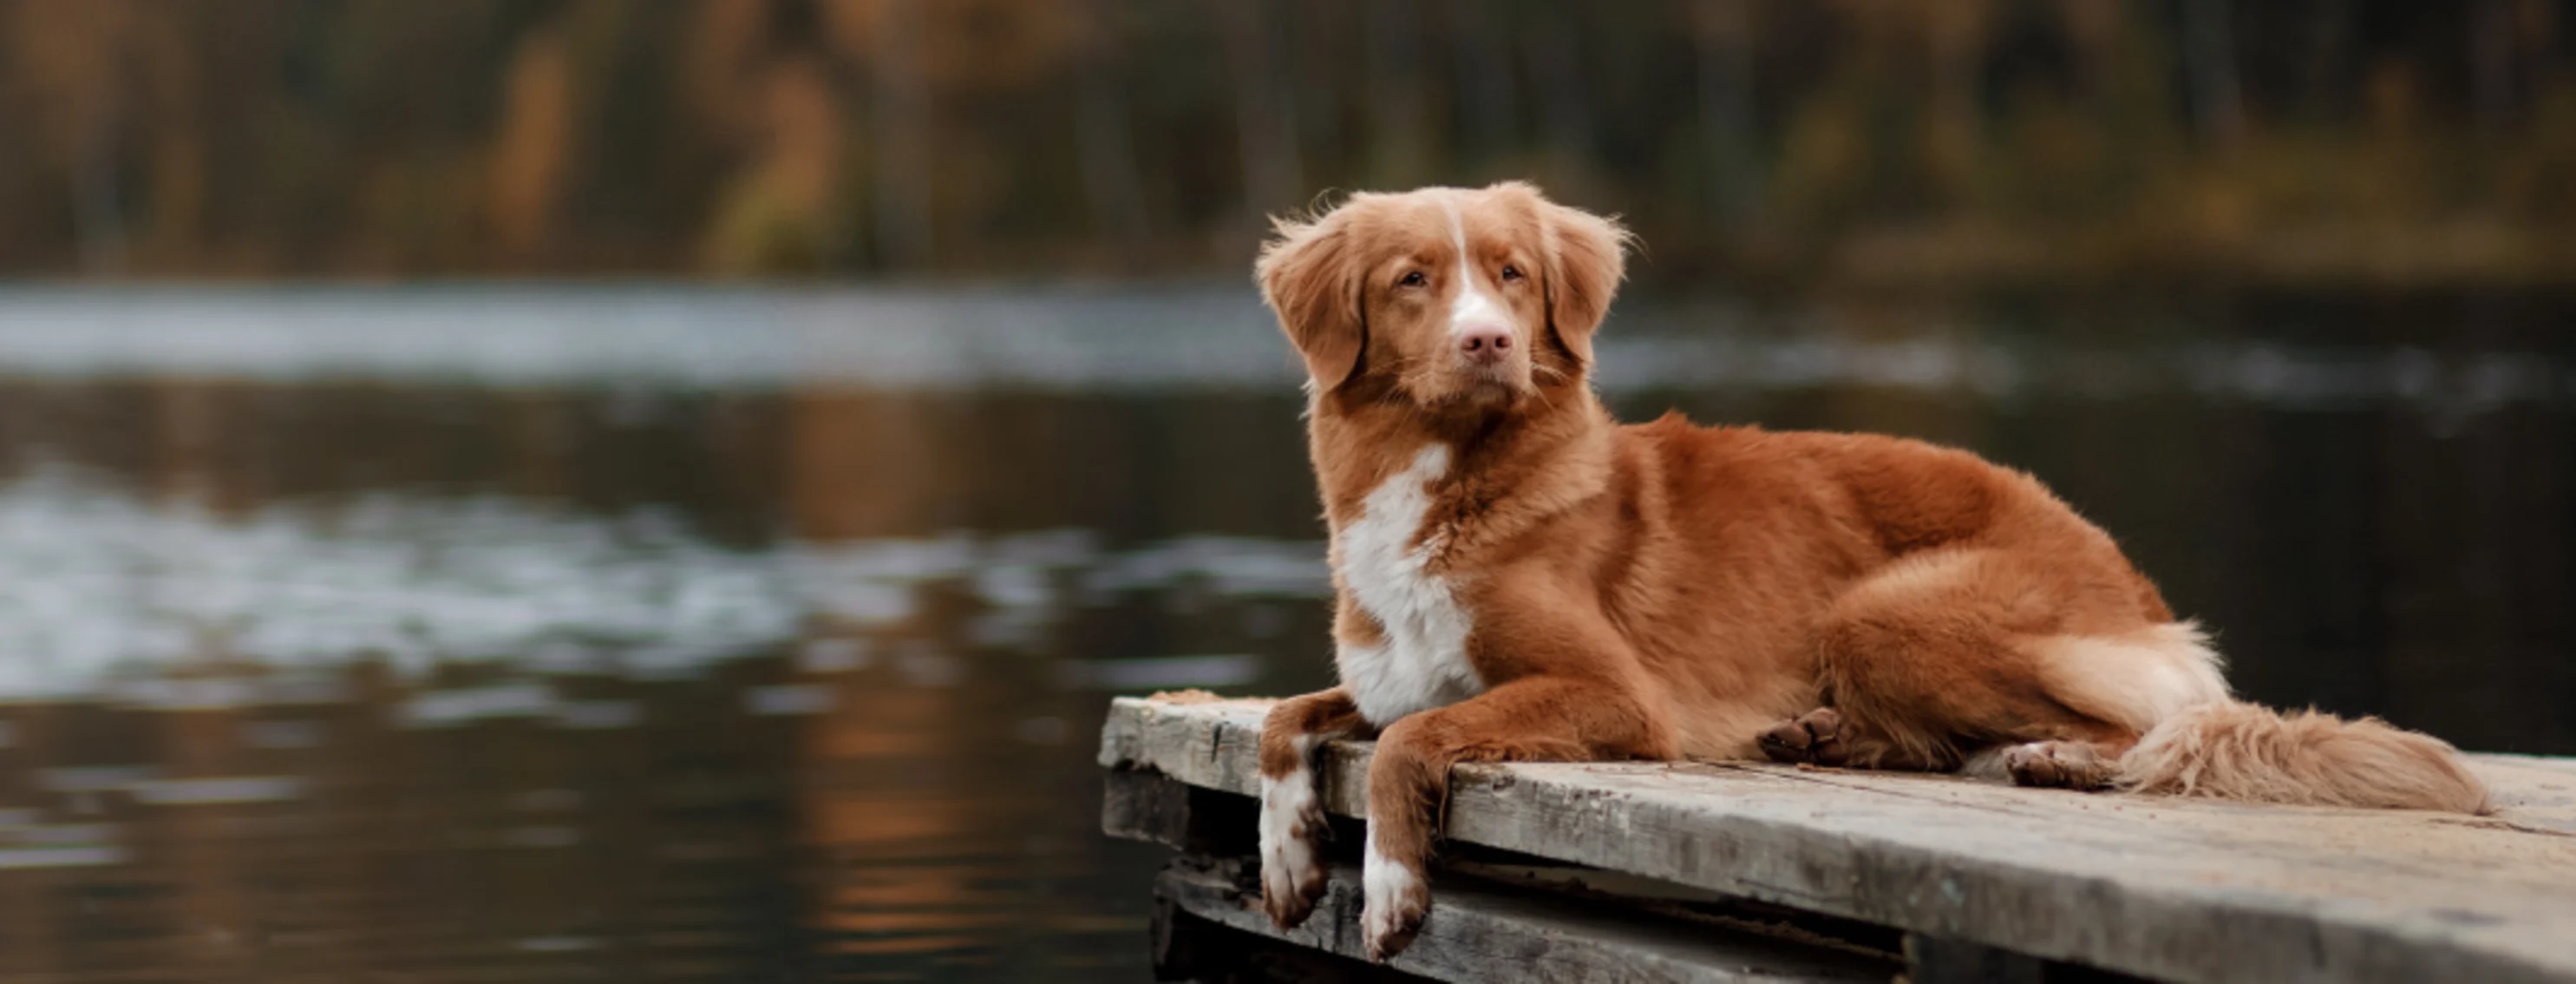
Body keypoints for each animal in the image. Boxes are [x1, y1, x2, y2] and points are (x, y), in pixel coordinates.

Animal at [1246, 182, 2493, 963]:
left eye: (1509, 276)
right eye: (1413, 280)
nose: (1489, 343)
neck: (1451, 480)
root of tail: (2122, 569)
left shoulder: (1612, 695)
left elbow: (1407, 739)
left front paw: (1391, 887)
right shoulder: (1391, 674)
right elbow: (1282, 717)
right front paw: (1289, 859)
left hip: (1882, 607)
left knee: (2140, 733)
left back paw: (2047, 756)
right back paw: (1823, 735)